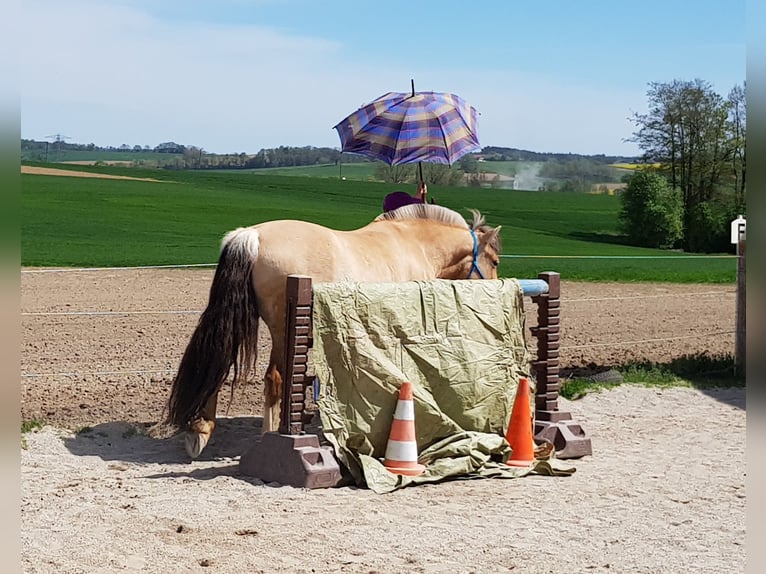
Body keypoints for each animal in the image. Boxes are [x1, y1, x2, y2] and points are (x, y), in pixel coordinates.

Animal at [166, 202, 504, 460]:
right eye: (495, 260)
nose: (493, 291)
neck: (414, 245)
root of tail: (252, 235)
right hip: (280, 332)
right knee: (274, 379)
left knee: (216, 365)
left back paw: (200, 431)